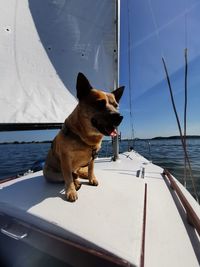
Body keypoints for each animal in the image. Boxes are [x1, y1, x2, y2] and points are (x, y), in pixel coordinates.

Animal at [43, 72, 124, 202]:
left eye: (116, 106)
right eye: (100, 103)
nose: (119, 116)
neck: (84, 138)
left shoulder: (93, 157)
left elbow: (91, 168)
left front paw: (92, 178)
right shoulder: (65, 159)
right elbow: (68, 177)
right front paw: (71, 191)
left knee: (78, 173)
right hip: (50, 173)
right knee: (66, 176)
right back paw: (76, 183)